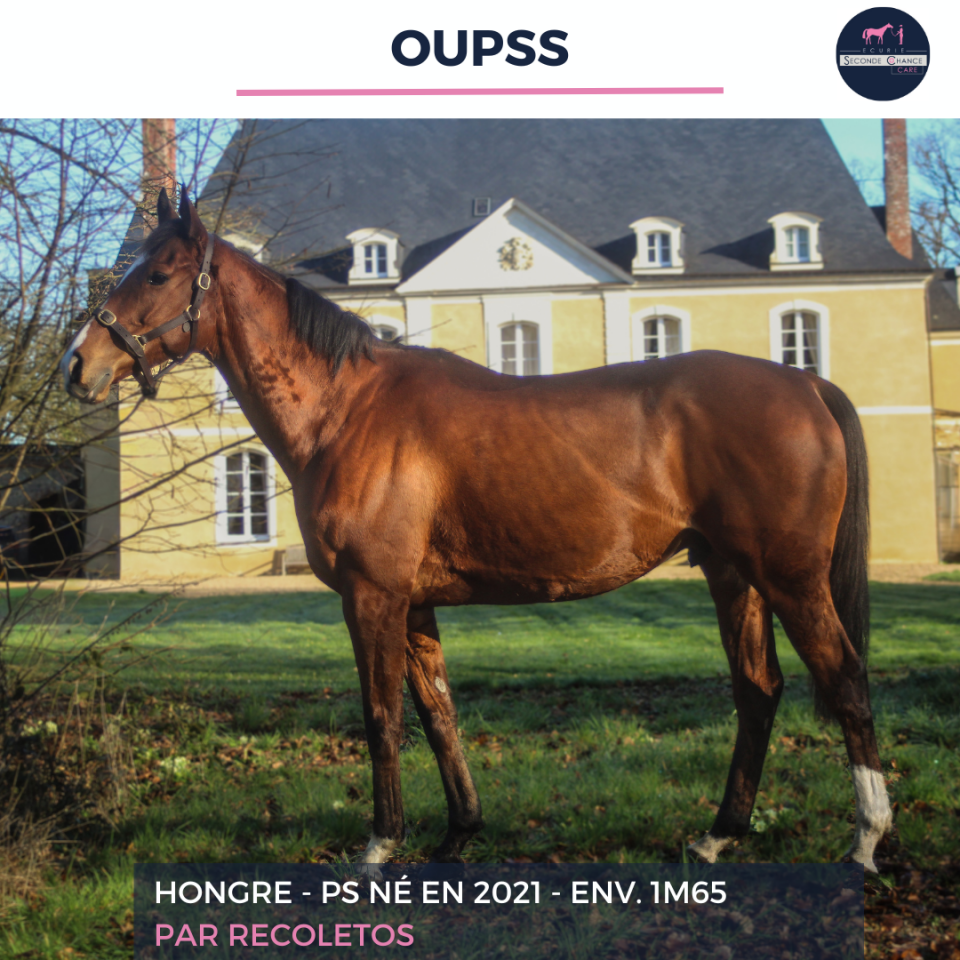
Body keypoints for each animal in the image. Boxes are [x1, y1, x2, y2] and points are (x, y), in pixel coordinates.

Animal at [62, 190, 892, 872]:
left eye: (160, 273)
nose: (78, 363)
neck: (348, 410)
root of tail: (805, 383)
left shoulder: (373, 597)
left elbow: (382, 715)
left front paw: (380, 845)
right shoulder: (415, 604)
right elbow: (438, 714)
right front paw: (458, 832)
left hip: (790, 577)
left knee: (844, 681)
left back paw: (866, 839)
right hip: (733, 576)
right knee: (759, 691)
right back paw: (719, 834)